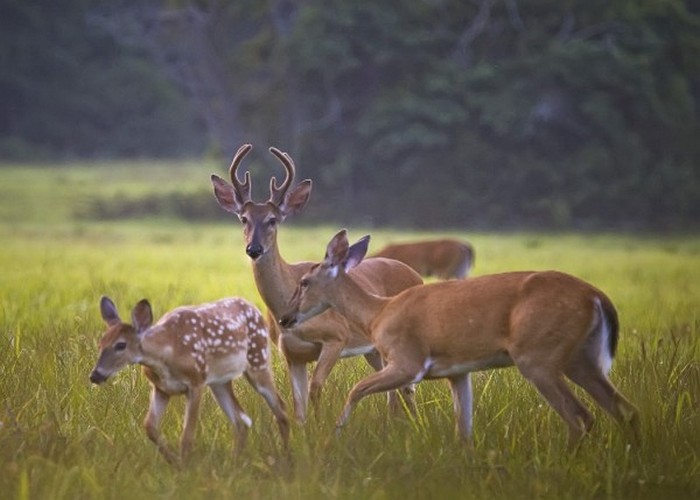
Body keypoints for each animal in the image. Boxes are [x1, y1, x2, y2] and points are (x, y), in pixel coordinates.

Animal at [88, 292, 290, 464]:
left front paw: (183, 469)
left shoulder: (196, 381)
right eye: (101, 343)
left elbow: (187, 435)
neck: (166, 354)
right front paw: (174, 462)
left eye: (121, 345)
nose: (95, 375)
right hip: (220, 381)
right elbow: (149, 426)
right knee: (241, 421)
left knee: (280, 408)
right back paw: (234, 463)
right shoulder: (161, 388)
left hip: (258, 359)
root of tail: (253, 306)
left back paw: (286, 457)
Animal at [211, 145, 424, 422]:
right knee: (396, 390)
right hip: (374, 350)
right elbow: (298, 404)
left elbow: (316, 388)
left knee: (406, 387)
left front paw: (322, 426)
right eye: (243, 218)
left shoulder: (337, 336)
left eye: (272, 219)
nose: (254, 248)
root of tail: (416, 275)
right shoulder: (291, 354)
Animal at [278, 230, 640, 450]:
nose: (284, 317)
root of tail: (597, 298)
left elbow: (355, 390)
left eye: (305, 282)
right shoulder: (458, 372)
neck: (378, 313)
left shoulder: (408, 361)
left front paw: (333, 435)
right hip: (581, 358)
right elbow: (463, 429)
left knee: (580, 417)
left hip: (539, 357)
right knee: (624, 410)